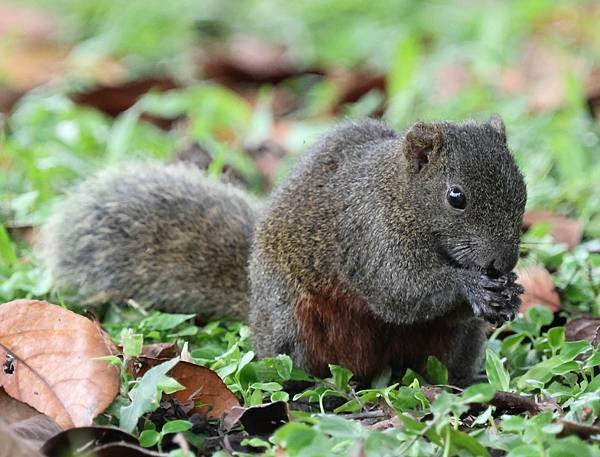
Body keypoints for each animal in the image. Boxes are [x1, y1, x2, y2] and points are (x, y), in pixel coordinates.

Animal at [38, 115, 524, 384]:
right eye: (456, 197)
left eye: (522, 189)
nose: (502, 262)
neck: (399, 194)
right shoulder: (370, 235)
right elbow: (399, 291)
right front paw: (470, 285)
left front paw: (511, 291)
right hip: (295, 324)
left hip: (457, 343)